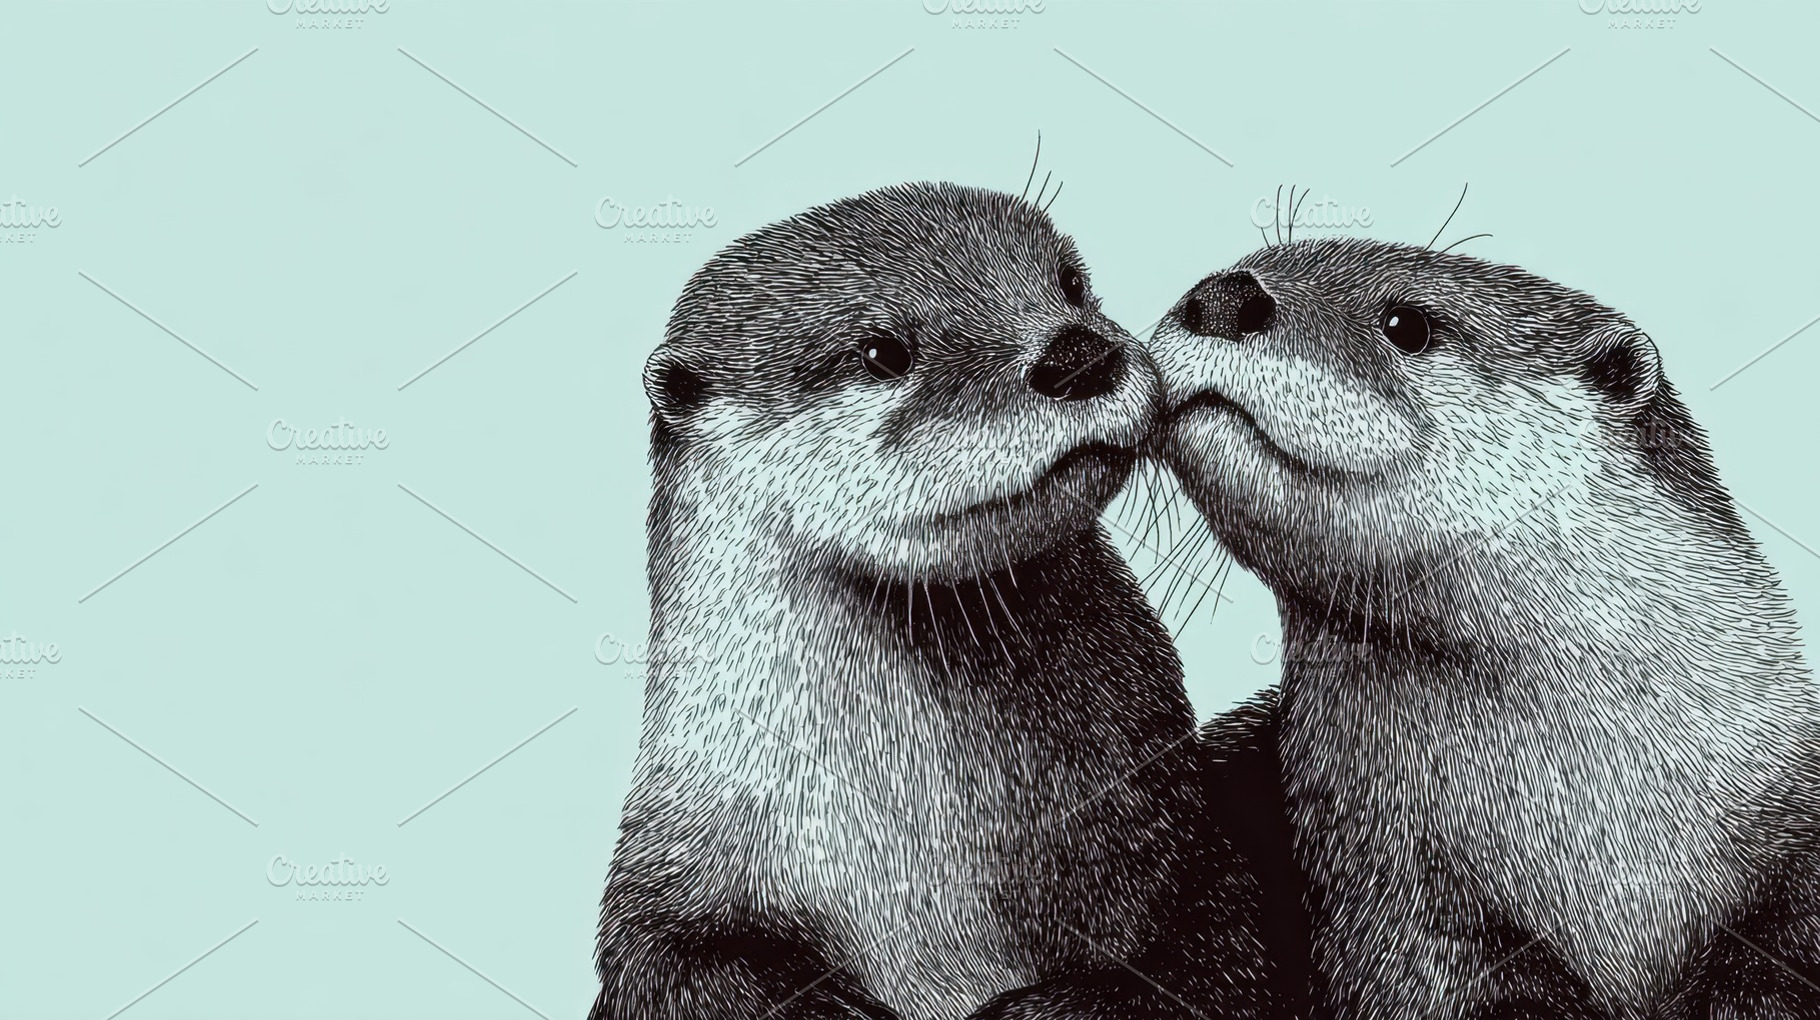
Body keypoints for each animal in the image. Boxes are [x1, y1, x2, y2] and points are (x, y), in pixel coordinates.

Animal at [590, 182, 1275, 1020]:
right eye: (883, 352)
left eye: (1070, 281)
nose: (1077, 354)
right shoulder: (669, 876)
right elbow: (680, 968)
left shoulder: (1179, 838)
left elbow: (1215, 954)